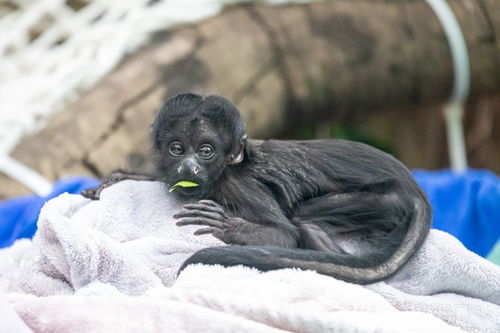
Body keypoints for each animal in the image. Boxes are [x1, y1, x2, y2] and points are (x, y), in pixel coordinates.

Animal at [84, 92, 432, 282]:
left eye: (206, 151)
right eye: (177, 149)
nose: (188, 167)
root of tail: (414, 188)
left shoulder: (240, 185)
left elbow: (284, 233)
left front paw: (227, 226)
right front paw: (120, 178)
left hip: (386, 199)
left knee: (303, 221)